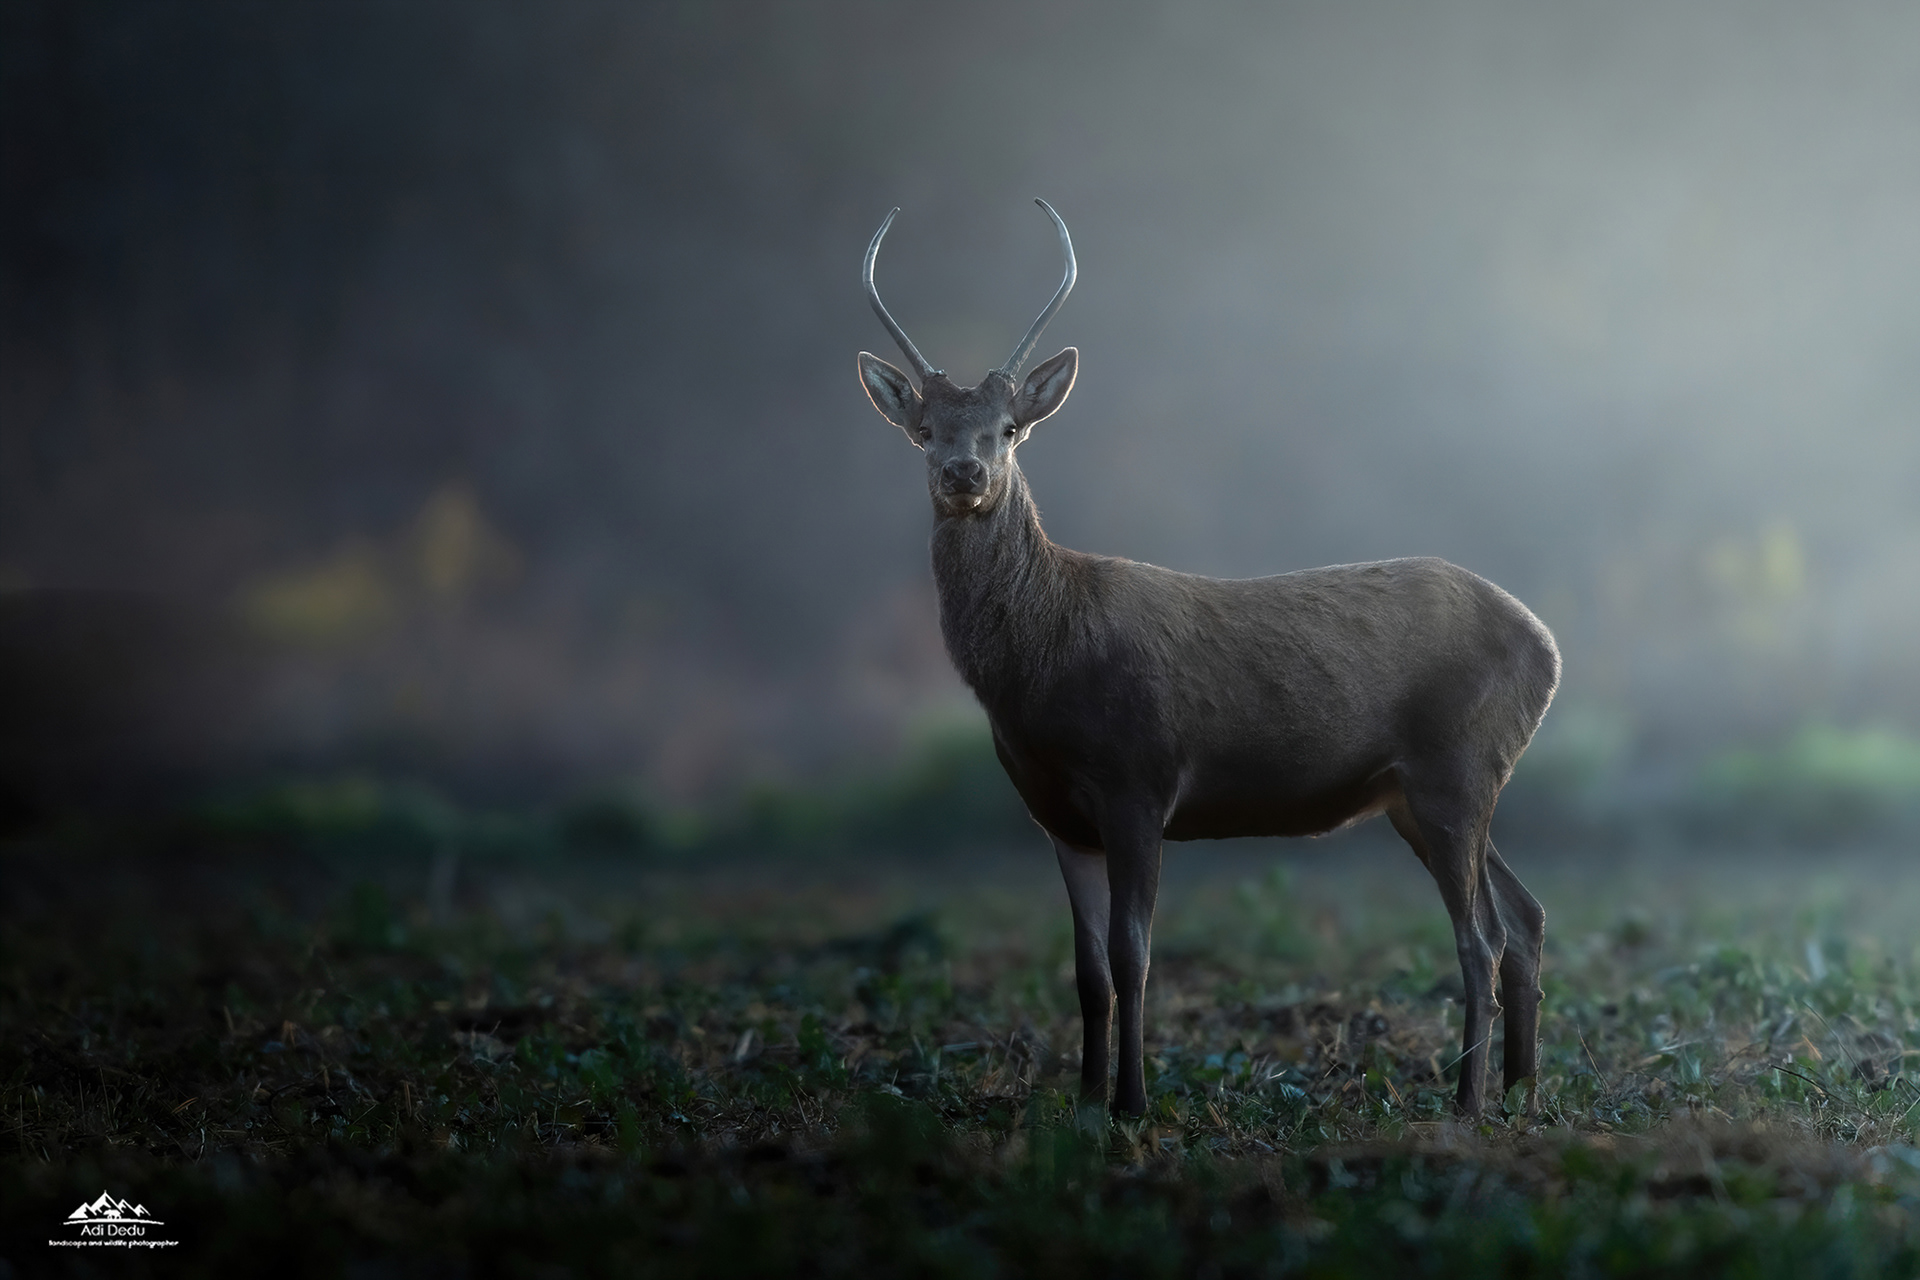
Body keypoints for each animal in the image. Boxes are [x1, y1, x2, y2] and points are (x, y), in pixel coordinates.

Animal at [855, 200, 1561, 1118]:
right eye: (923, 430)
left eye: (1008, 429)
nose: (965, 471)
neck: (1041, 670)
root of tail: (1548, 648)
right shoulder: (1057, 817)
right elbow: (1086, 971)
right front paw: (1086, 1100)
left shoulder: (1140, 779)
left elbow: (1133, 955)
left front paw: (1132, 1102)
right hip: (1420, 791)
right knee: (1526, 916)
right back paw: (1521, 1092)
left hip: (1458, 765)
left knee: (1481, 935)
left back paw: (1469, 1103)